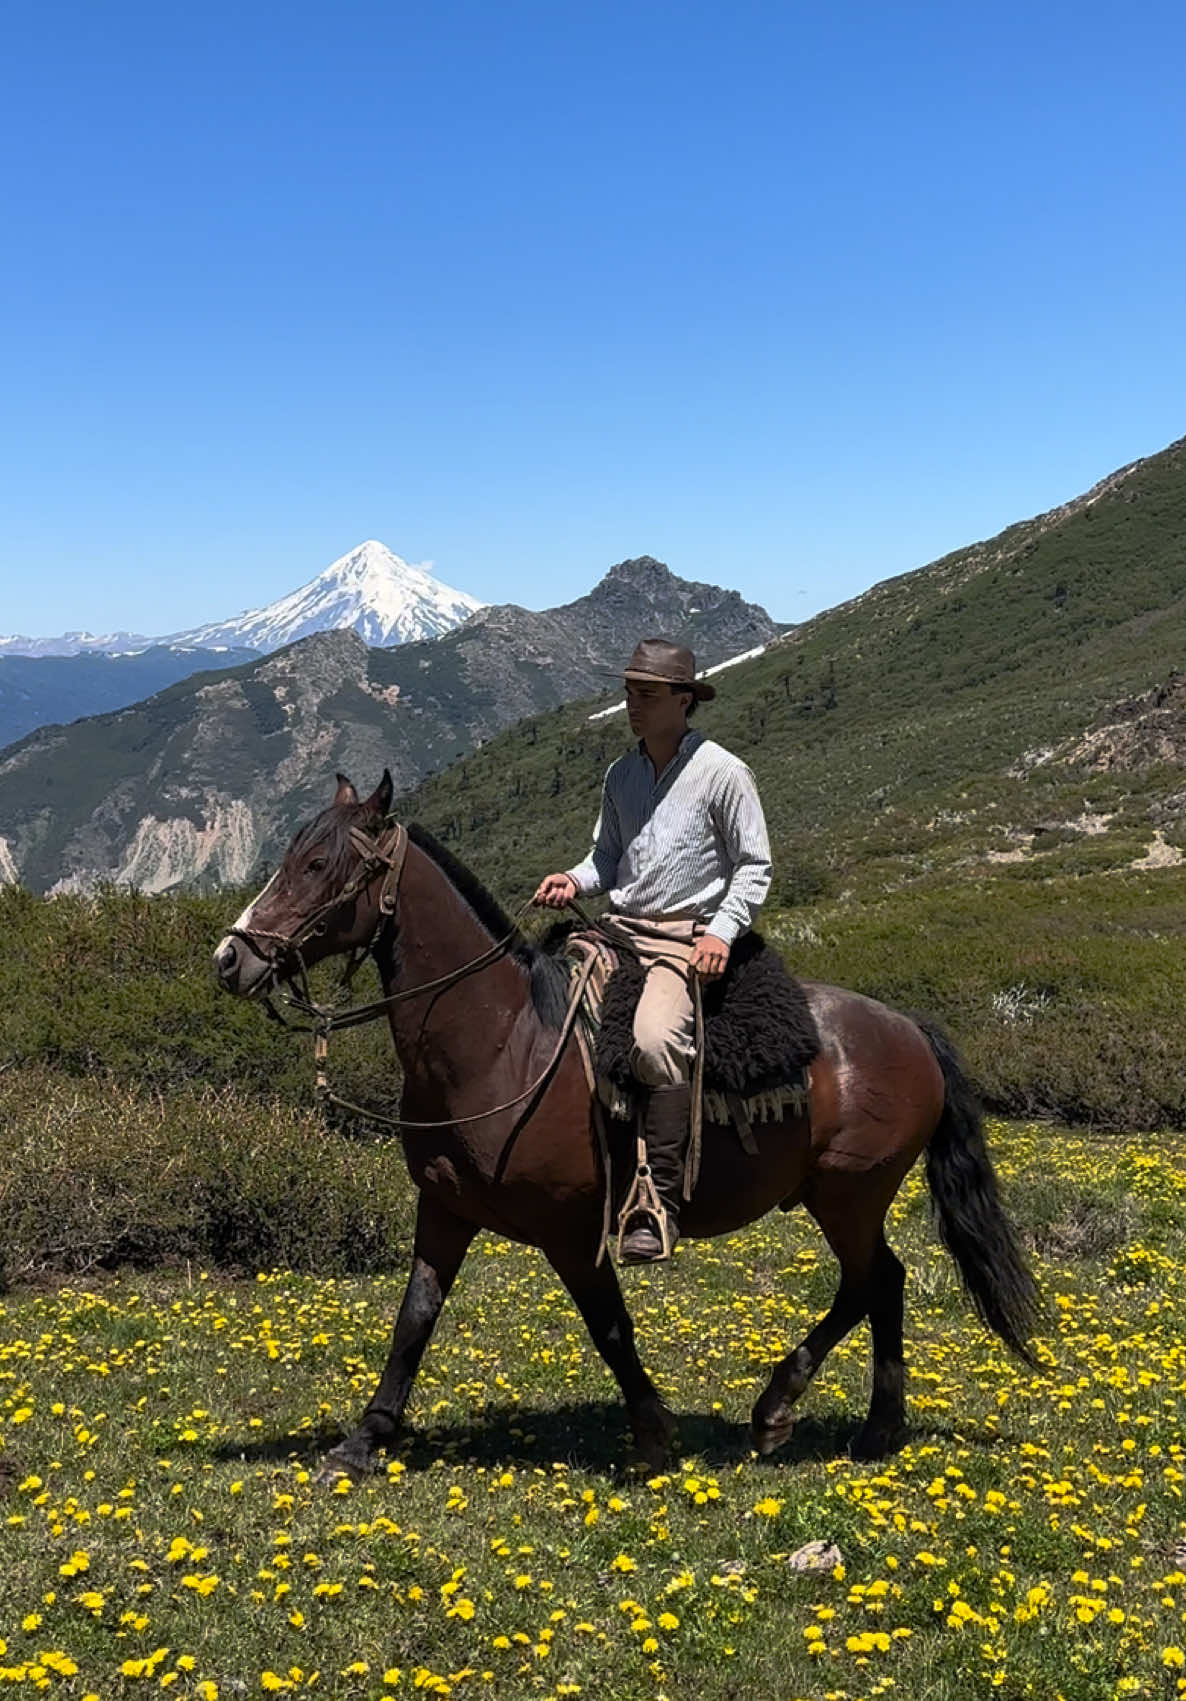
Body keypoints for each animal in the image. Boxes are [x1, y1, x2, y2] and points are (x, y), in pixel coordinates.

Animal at [215, 772, 1034, 1476]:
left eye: (319, 863)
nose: (230, 957)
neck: (505, 1042)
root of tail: (909, 1027)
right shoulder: (443, 1209)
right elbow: (414, 1317)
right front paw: (362, 1441)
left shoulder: (571, 1228)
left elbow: (609, 1325)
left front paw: (652, 1432)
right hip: (840, 1197)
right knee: (879, 1283)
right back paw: (864, 1427)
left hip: (850, 1193)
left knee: (873, 1281)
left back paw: (794, 1411)